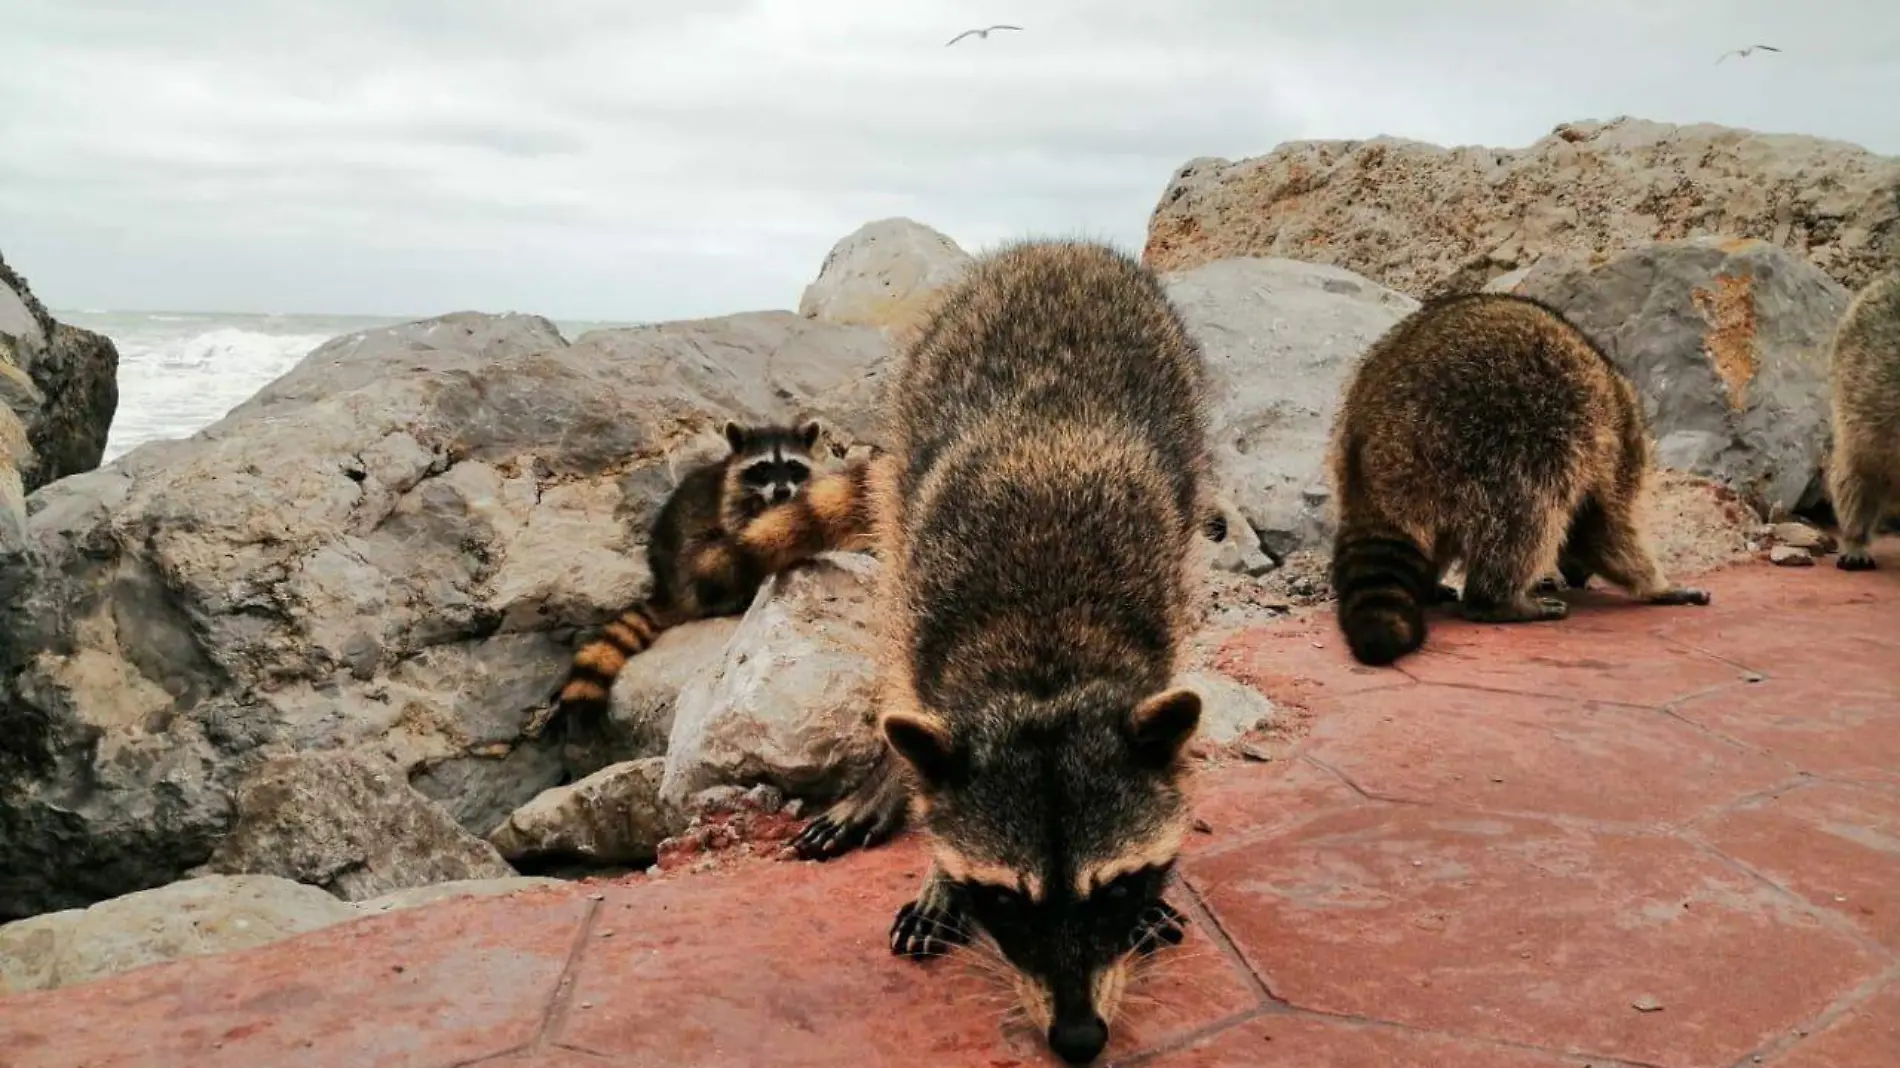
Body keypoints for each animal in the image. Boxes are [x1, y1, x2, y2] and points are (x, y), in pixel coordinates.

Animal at [554, 418, 870, 714]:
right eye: (763, 468)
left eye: (793, 466)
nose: (782, 492)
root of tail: (666, 593)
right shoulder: (731, 503)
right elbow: (753, 534)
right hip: (694, 568)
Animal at [794, 241, 1208, 1064]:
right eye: (1007, 902)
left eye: (1117, 890)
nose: (1079, 1038)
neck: (1044, 667)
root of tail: (1057, 246)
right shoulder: (923, 618)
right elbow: (915, 718)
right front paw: (932, 861)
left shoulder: (1163, 616)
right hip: (911, 419)